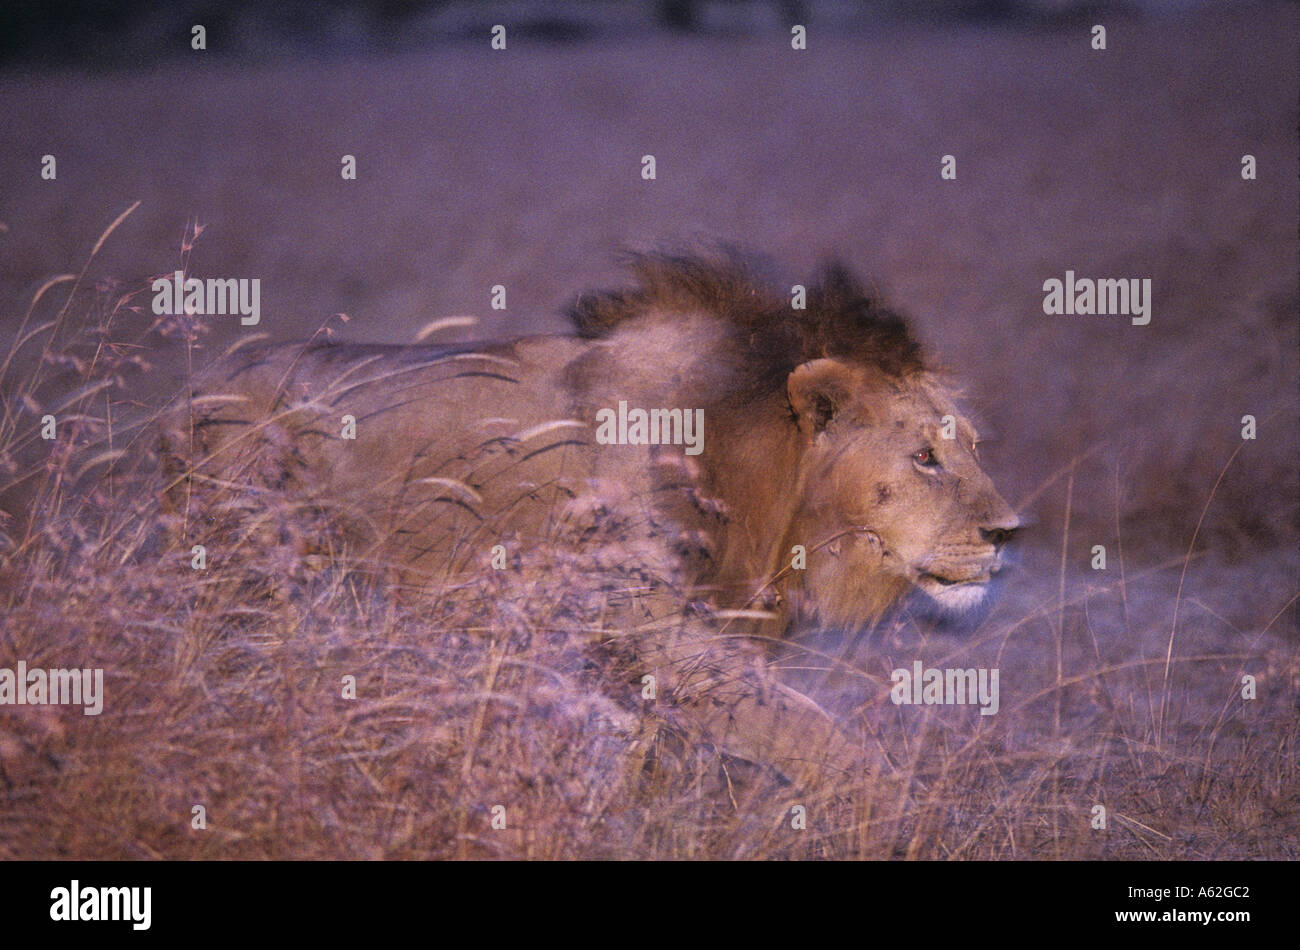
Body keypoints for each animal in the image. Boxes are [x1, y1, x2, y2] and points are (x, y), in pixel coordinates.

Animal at [160, 252, 1019, 780]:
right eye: (924, 457)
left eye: (974, 447)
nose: (1007, 533)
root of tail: (192, 391)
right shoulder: (656, 629)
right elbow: (828, 744)